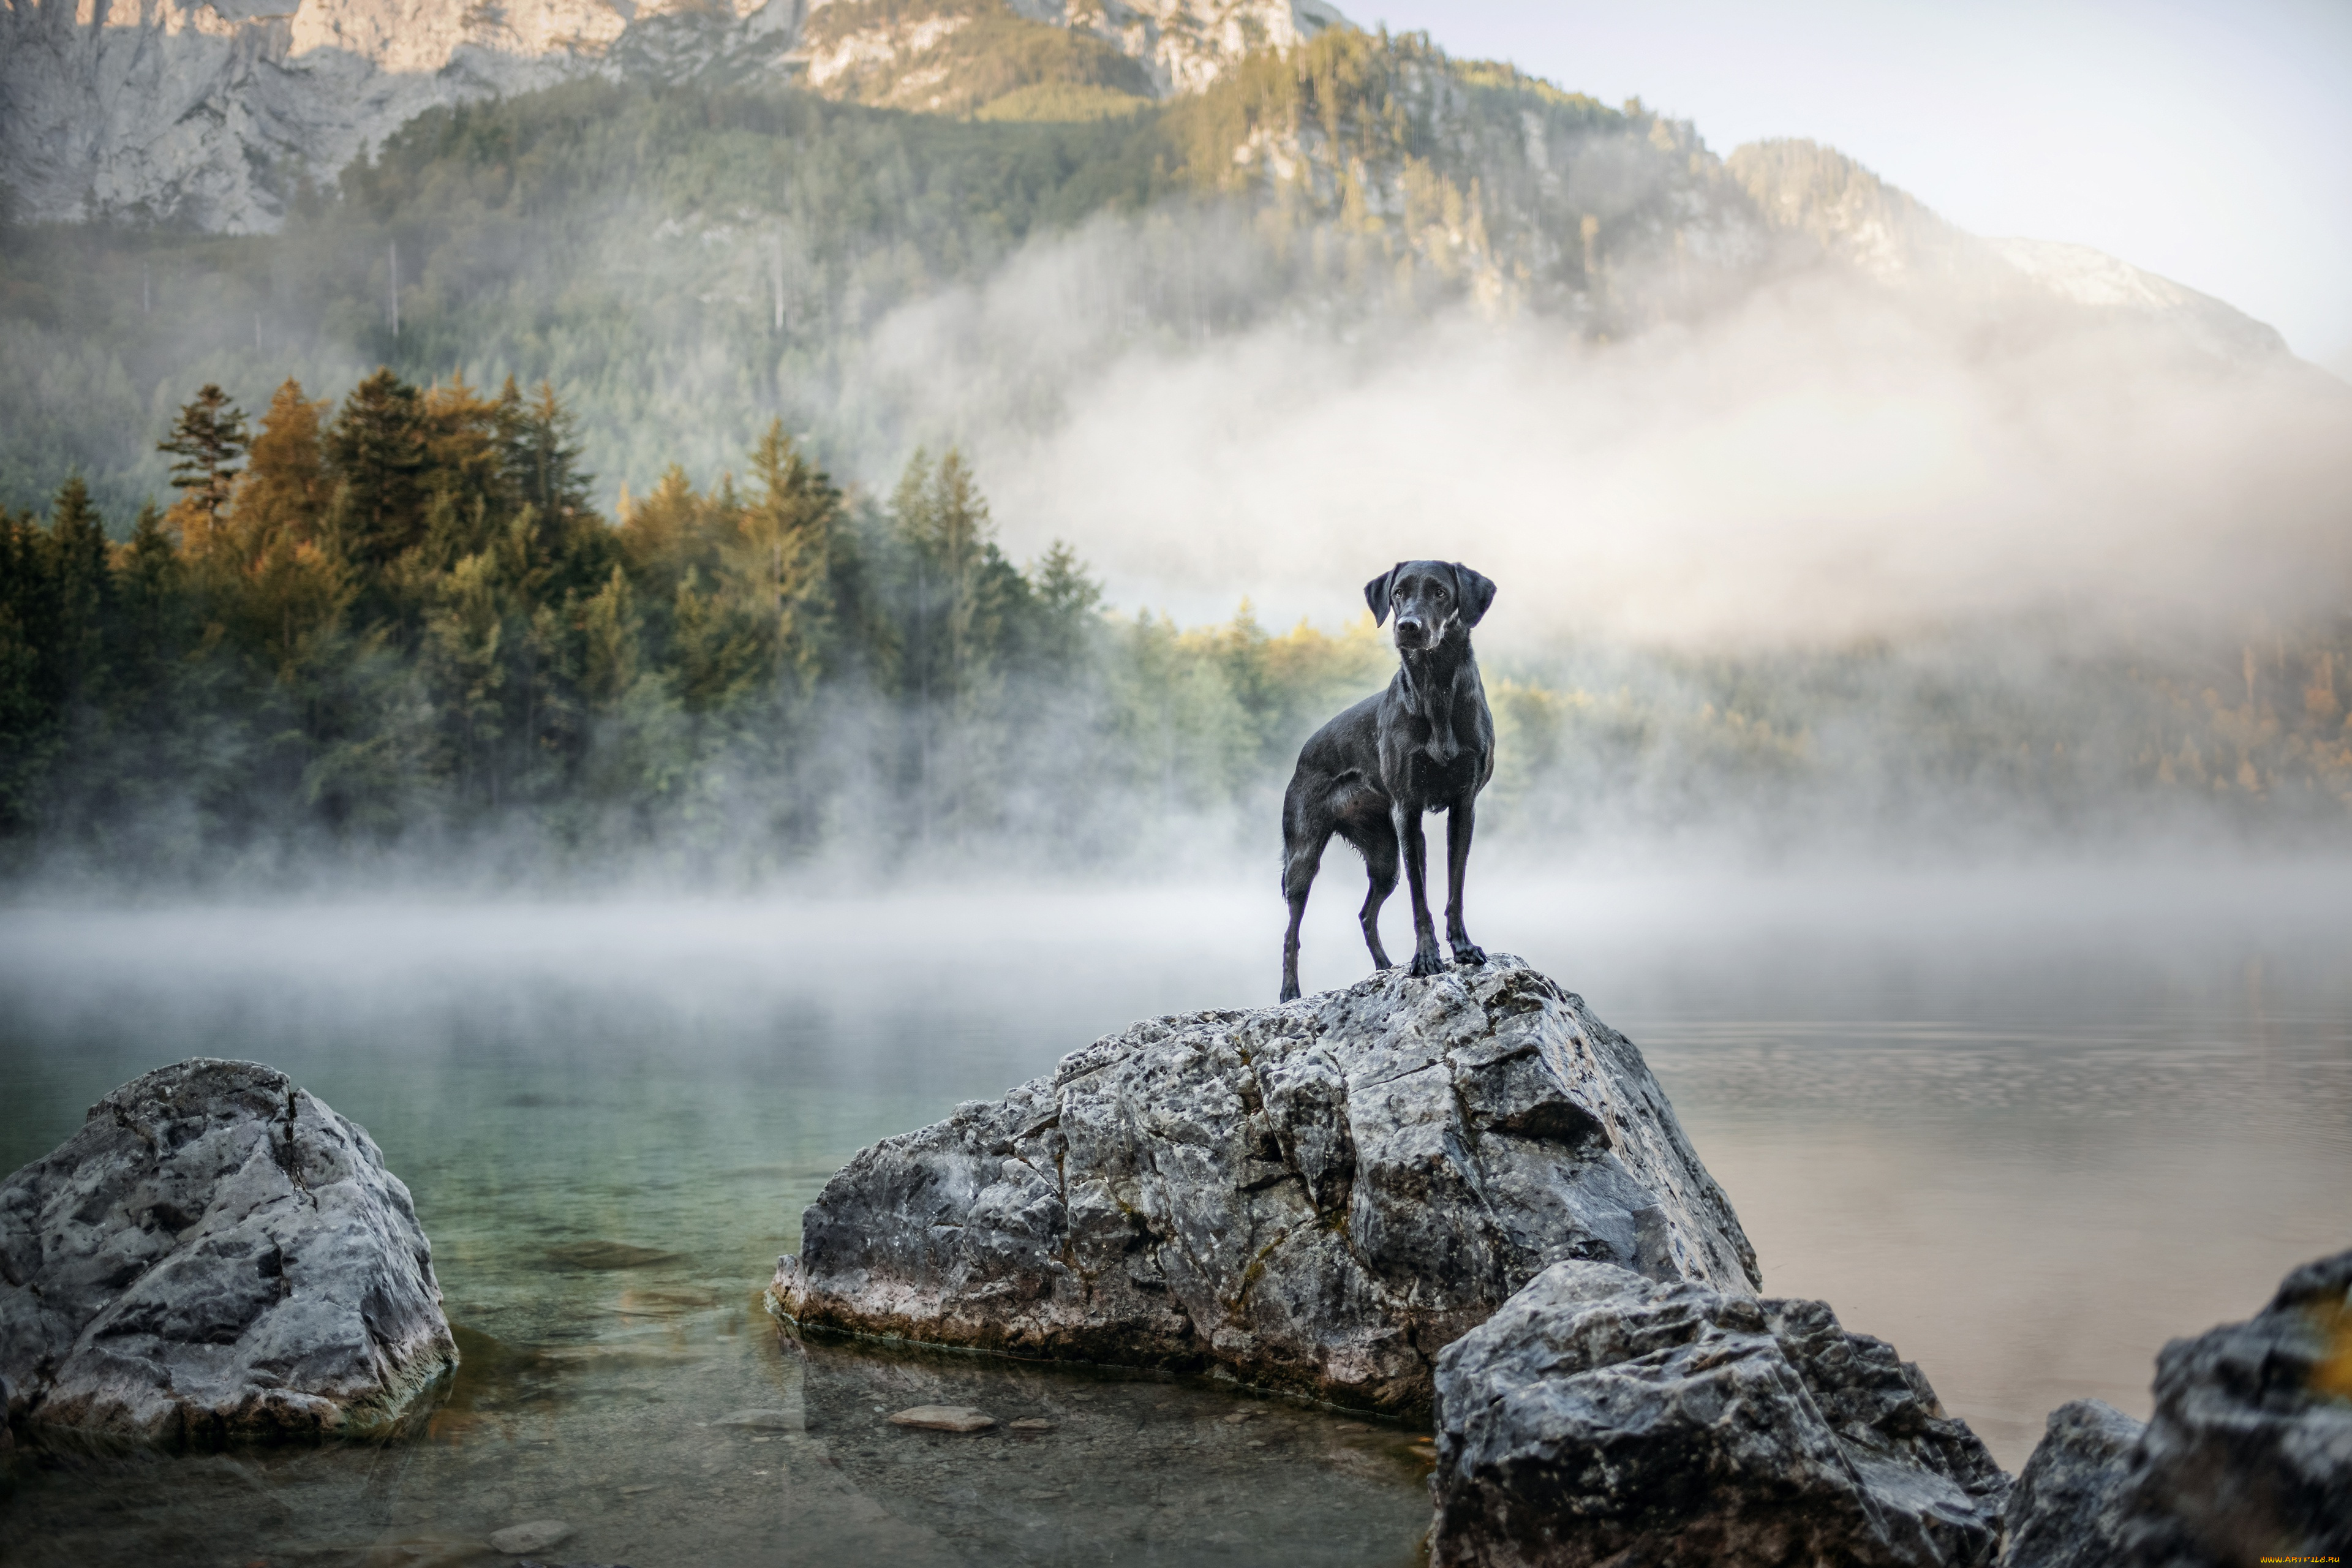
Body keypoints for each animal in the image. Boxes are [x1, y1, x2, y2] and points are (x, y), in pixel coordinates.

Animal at [1279, 562, 1496, 1006]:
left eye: (1441, 592)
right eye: (1398, 593)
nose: (1407, 627)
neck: (1436, 688)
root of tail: (1303, 753)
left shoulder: (1463, 808)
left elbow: (1455, 890)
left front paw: (1462, 948)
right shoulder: (1408, 813)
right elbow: (1420, 899)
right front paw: (1426, 959)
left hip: (1384, 859)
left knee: (1365, 914)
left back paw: (1383, 968)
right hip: (1303, 859)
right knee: (1292, 933)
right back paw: (1290, 992)